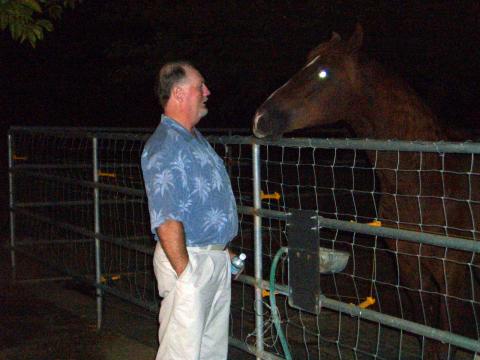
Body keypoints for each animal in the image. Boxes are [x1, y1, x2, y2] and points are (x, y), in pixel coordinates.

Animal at [253, 23, 478, 358]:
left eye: (324, 73)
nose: (260, 119)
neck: (425, 180)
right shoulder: (410, 268)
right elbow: (427, 333)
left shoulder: (452, 272)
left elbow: (446, 336)